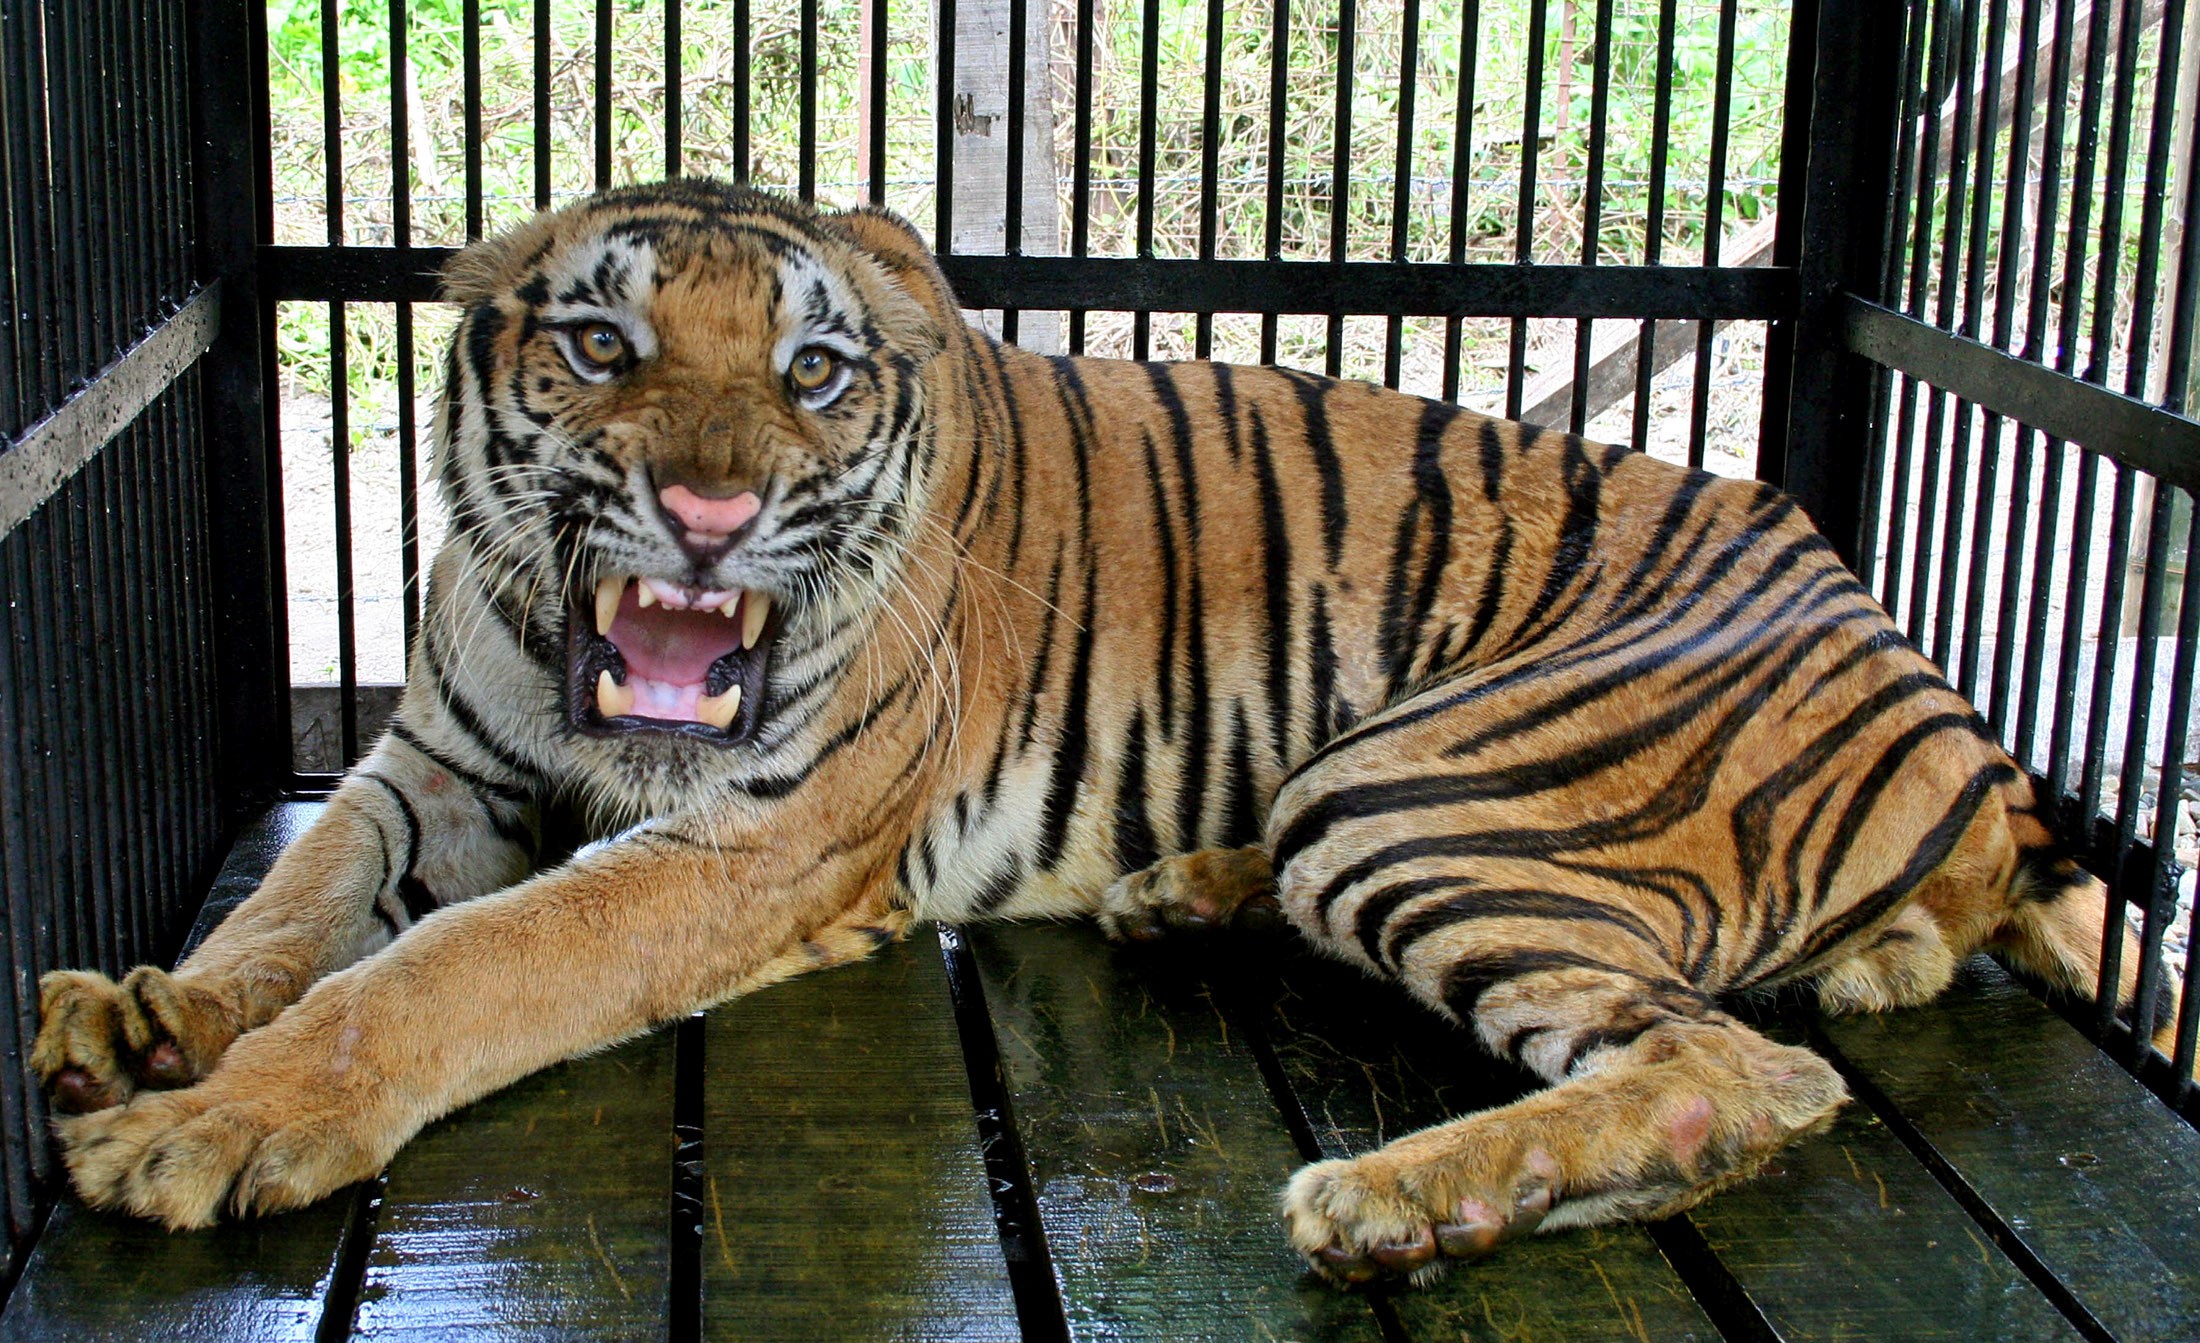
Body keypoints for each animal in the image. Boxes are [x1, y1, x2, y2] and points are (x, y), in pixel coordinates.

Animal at [21, 178, 2182, 1276]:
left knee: (1738, 1070)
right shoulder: (435, 763)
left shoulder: (748, 844)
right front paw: (150, 1013)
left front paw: (208, 1124)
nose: (707, 510)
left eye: (814, 373)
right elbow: (302, 899)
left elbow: (446, 968)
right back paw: (1187, 893)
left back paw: (1410, 1200)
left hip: (1423, 791)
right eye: (599, 346)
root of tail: (1943, 690)